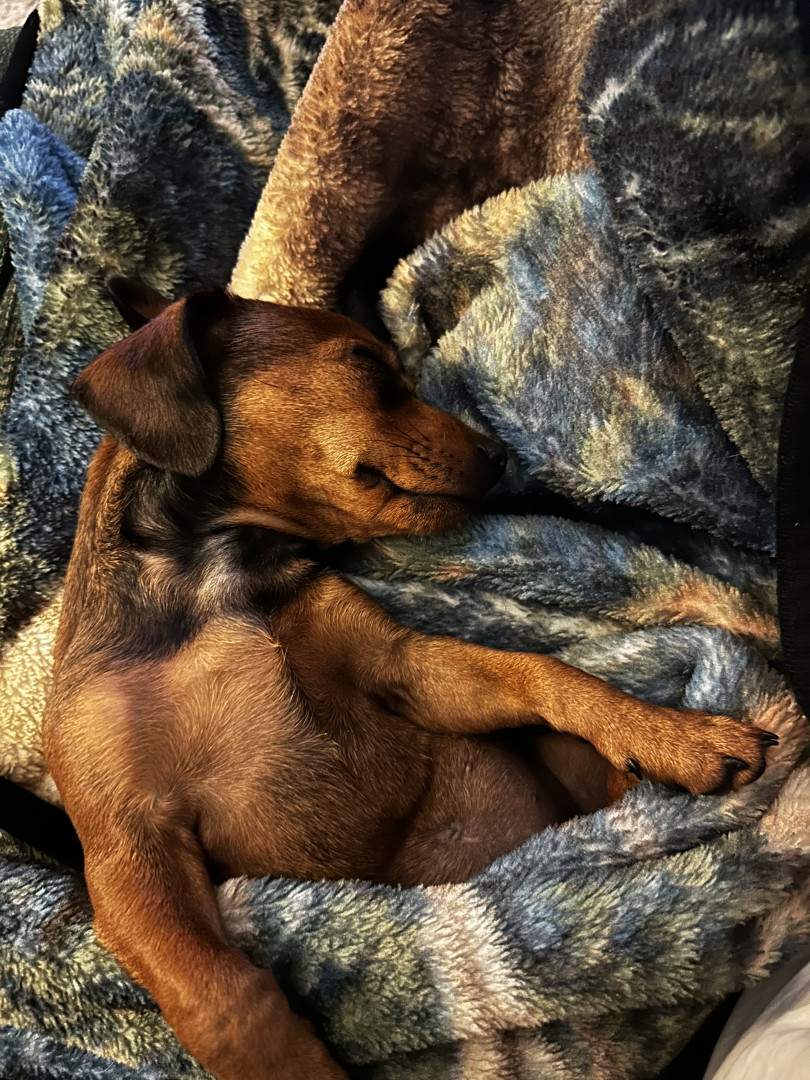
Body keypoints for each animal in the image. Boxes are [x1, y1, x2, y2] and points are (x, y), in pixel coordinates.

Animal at [43, 278, 777, 1080]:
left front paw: (671, 733)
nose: (499, 456)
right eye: (366, 363)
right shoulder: (131, 846)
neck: (223, 579)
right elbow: (228, 1001)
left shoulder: (406, 669)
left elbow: (546, 672)